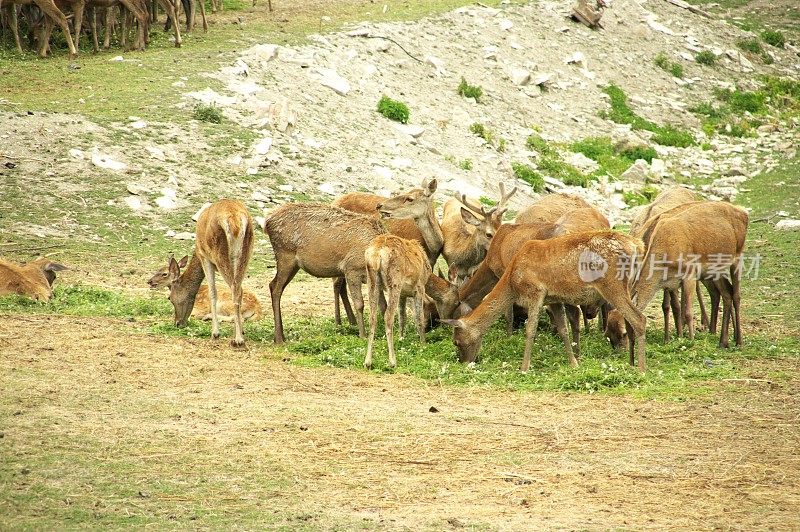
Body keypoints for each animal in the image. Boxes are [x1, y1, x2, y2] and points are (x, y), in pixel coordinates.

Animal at [159, 201, 253, 350]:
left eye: (171, 299)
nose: (178, 323)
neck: (196, 252)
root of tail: (235, 220)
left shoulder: (205, 258)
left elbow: (212, 292)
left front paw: (215, 333)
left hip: (219, 254)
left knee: (234, 288)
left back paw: (237, 340)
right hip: (245, 254)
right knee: (240, 288)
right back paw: (239, 336)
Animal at [262, 202, 388, 342]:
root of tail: (267, 222)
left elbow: (383, 306)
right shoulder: (351, 269)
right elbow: (359, 304)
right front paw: (363, 335)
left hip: (293, 265)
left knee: (273, 285)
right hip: (285, 256)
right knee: (275, 287)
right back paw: (279, 338)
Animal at [366, 236, 434, 370]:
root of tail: (377, 254)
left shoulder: (403, 294)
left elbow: (403, 317)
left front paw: (402, 338)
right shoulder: (419, 288)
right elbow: (418, 317)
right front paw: (423, 344)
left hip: (372, 281)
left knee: (373, 317)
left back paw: (367, 362)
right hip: (394, 281)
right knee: (388, 316)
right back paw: (392, 361)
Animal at [440, 231, 648, 372]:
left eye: (456, 341)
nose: (464, 363)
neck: (512, 281)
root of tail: (637, 246)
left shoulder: (535, 291)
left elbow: (530, 330)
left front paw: (524, 367)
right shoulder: (554, 298)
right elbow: (563, 330)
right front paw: (574, 363)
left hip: (612, 284)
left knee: (639, 319)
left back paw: (641, 369)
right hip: (628, 286)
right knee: (629, 320)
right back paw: (631, 363)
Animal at [608, 200, 752, 350]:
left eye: (624, 332)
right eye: (609, 335)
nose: (622, 350)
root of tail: (744, 213)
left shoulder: (690, 274)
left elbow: (687, 311)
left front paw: (690, 340)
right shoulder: (670, 283)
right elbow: (673, 307)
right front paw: (675, 337)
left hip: (738, 256)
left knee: (736, 295)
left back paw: (738, 341)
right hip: (714, 270)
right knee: (725, 293)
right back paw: (722, 341)